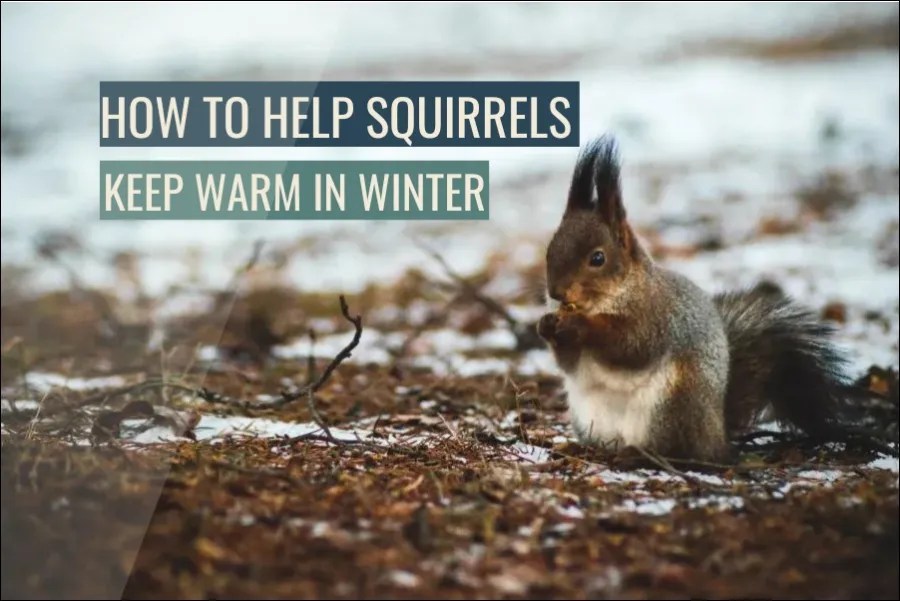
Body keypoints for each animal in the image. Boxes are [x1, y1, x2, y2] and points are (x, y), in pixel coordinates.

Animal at [537, 135, 850, 462]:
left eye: (597, 258)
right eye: (550, 250)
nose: (556, 293)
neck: (610, 298)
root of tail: (717, 434)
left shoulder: (656, 317)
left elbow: (630, 345)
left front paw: (579, 326)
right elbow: (569, 363)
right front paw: (545, 325)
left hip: (673, 404)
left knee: (674, 449)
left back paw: (636, 454)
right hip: (590, 417)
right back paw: (581, 447)